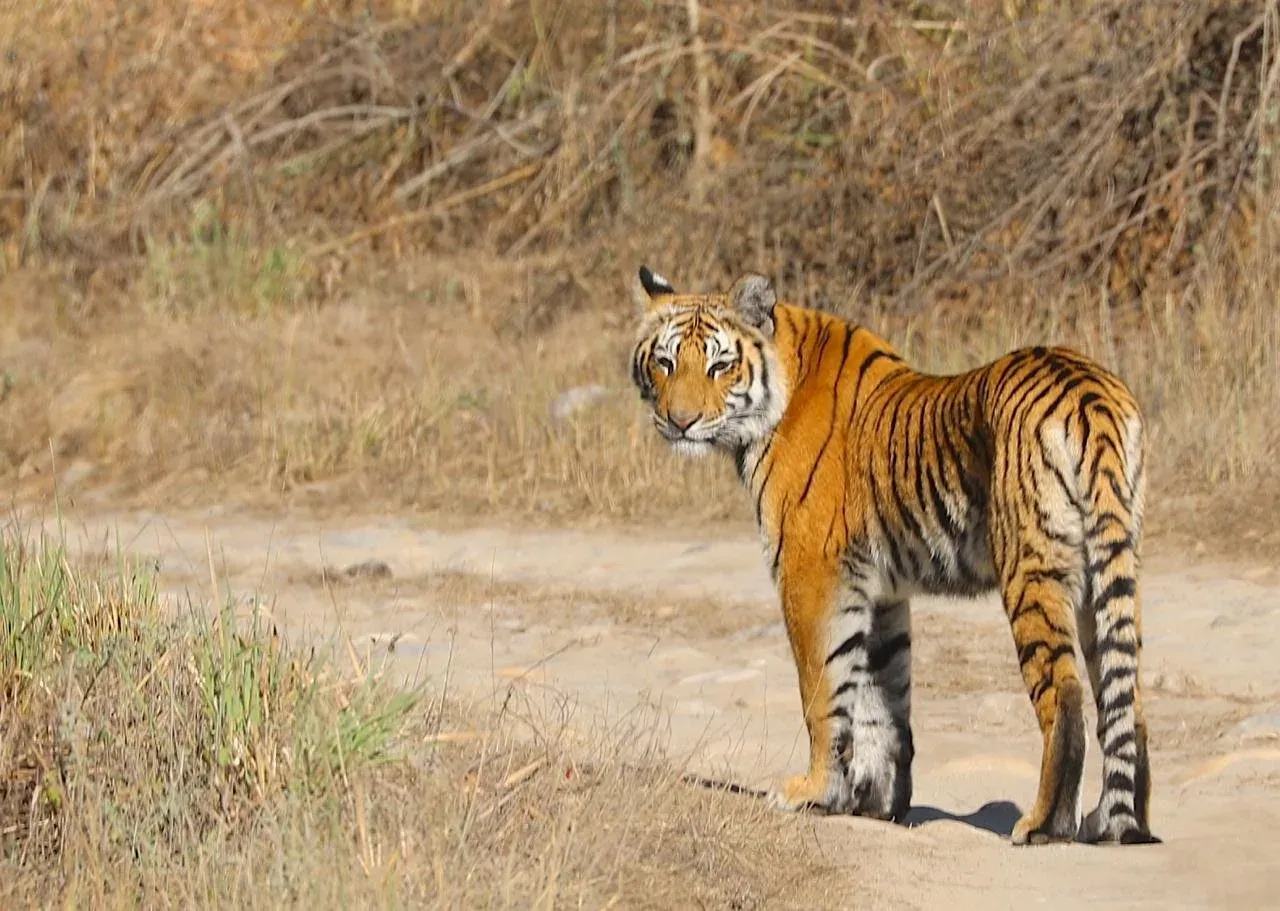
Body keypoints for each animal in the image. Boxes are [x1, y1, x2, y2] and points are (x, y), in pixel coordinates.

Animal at [628, 265, 1158, 845]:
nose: (680, 421)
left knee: (1064, 693)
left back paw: (1044, 825)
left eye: (720, 365)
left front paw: (812, 792)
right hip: (1110, 573)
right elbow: (883, 702)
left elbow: (822, 691)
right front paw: (874, 804)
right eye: (665, 362)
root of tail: (1089, 389)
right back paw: (1115, 823)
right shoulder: (879, 591)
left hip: (1033, 570)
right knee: (1125, 697)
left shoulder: (811, 575)